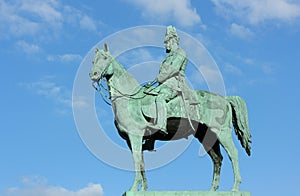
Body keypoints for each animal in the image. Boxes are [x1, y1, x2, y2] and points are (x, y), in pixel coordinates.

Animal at [88, 44, 251, 191]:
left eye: (105, 58)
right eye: (93, 60)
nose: (93, 74)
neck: (129, 99)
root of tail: (225, 99)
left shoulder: (135, 136)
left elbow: (137, 161)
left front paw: (134, 187)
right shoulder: (132, 140)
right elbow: (141, 162)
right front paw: (143, 188)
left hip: (222, 132)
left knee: (233, 154)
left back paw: (235, 187)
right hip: (207, 136)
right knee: (218, 159)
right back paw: (212, 189)